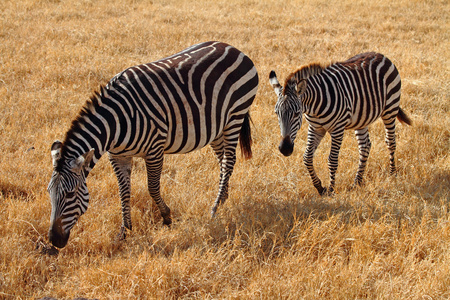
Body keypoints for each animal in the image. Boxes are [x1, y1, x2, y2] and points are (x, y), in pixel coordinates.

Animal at [47, 41, 258, 248]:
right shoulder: (117, 156)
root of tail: (233, 48)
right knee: (223, 161)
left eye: (70, 194)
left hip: (235, 116)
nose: (54, 240)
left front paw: (167, 217)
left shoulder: (154, 149)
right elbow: (124, 191)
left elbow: (153, 187)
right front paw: (125, 232)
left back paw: (214, 209)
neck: (115, 124)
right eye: (49, 193)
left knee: (229, 160)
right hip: (216, 127)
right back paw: (222, 200)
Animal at [268, 52, 414, 196]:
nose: (285, 149)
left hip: (390, 108)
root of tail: (380, 54)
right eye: (276, 113)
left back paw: (392, 174)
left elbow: (332, 160)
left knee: (390, 141)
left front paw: (331, 189)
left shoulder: (337, 129)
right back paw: (357, 182)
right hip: (362, 118)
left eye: (296, 113)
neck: (314, 107)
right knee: (365, 147)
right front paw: (319, 187)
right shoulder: (315, 128)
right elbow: (307, 157)